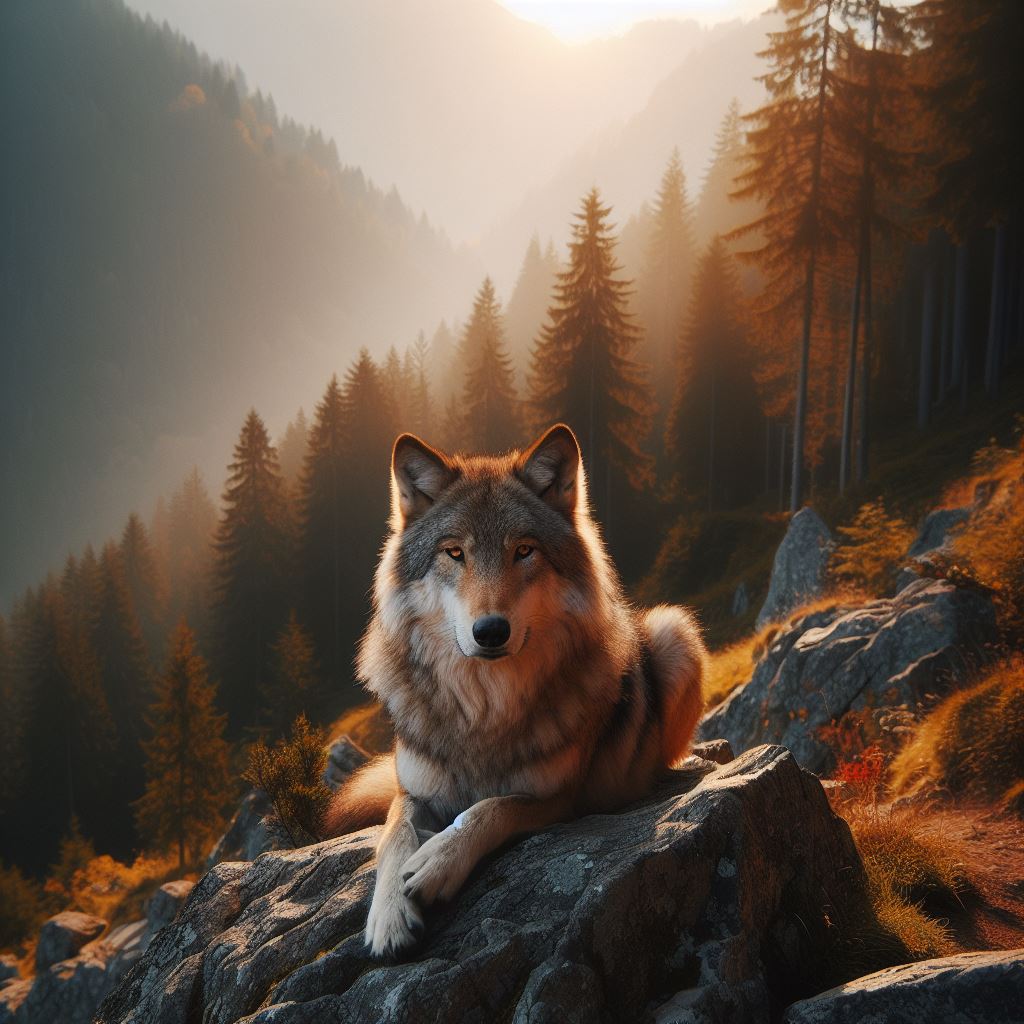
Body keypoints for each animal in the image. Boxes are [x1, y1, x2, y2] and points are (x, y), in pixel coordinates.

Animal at [326, 423, 706, 957]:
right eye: (455, 553)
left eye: (523, 551)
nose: (490, 631)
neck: (485, 706)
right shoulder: (412, 790)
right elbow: (394, 836)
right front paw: (388, 917)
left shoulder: (561, 799)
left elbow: (490, 808)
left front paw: (436, 861)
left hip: (674, 631)